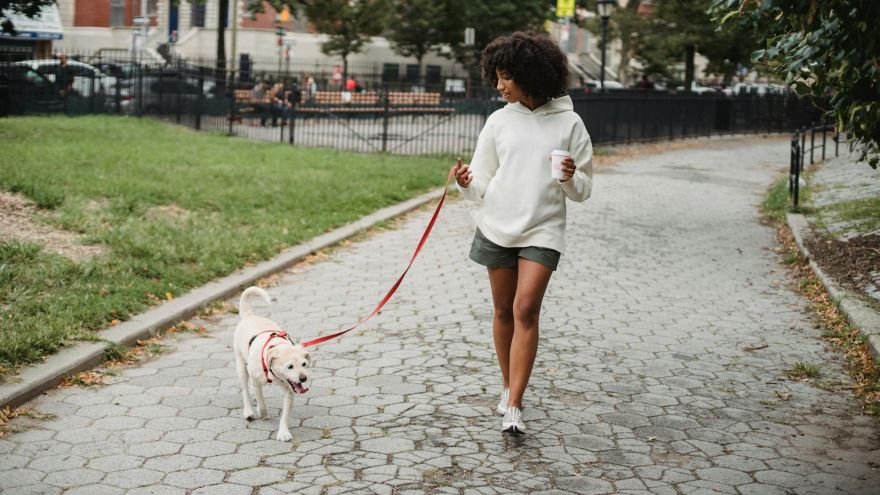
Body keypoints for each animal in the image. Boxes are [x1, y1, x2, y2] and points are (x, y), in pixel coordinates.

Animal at [234, 284, 312, 444]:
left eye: (304, 364)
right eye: (290, 366)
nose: (303, 378)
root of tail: (250, 316)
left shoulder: (290, 391)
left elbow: (285, 415)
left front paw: (283, 432)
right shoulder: (256, 381)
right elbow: (261, 401)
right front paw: (262, 412)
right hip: (241, 366)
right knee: (245, 389)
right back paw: (249, 411)